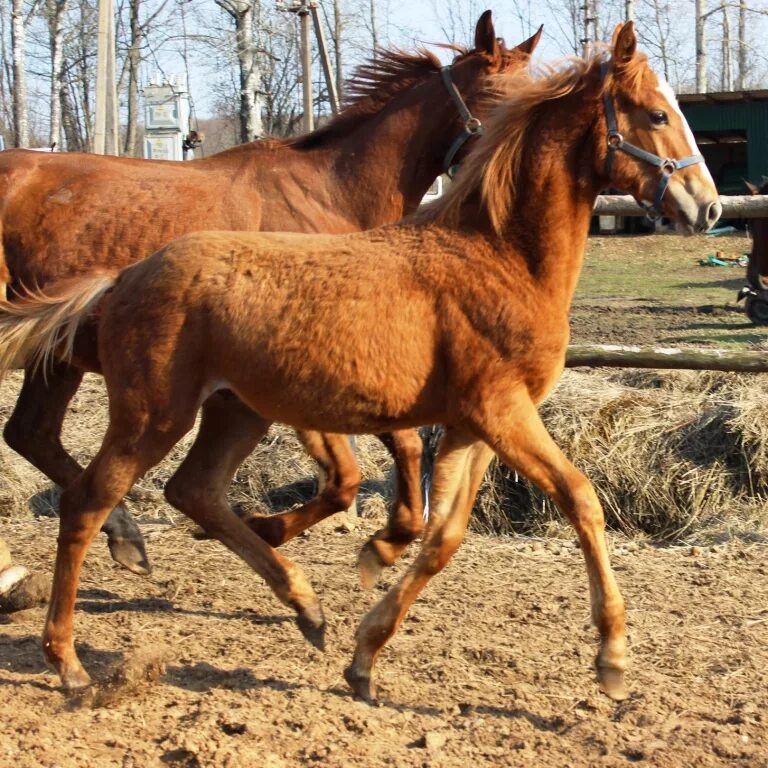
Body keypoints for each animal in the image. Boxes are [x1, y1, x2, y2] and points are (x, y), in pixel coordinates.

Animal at [0, 10, 540, 576]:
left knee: (31, 433)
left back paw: (124, 537)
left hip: (57, 357)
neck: (330, 195)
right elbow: (355, 473)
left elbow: (389, 458)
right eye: (500, 96)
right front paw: (266, 529)